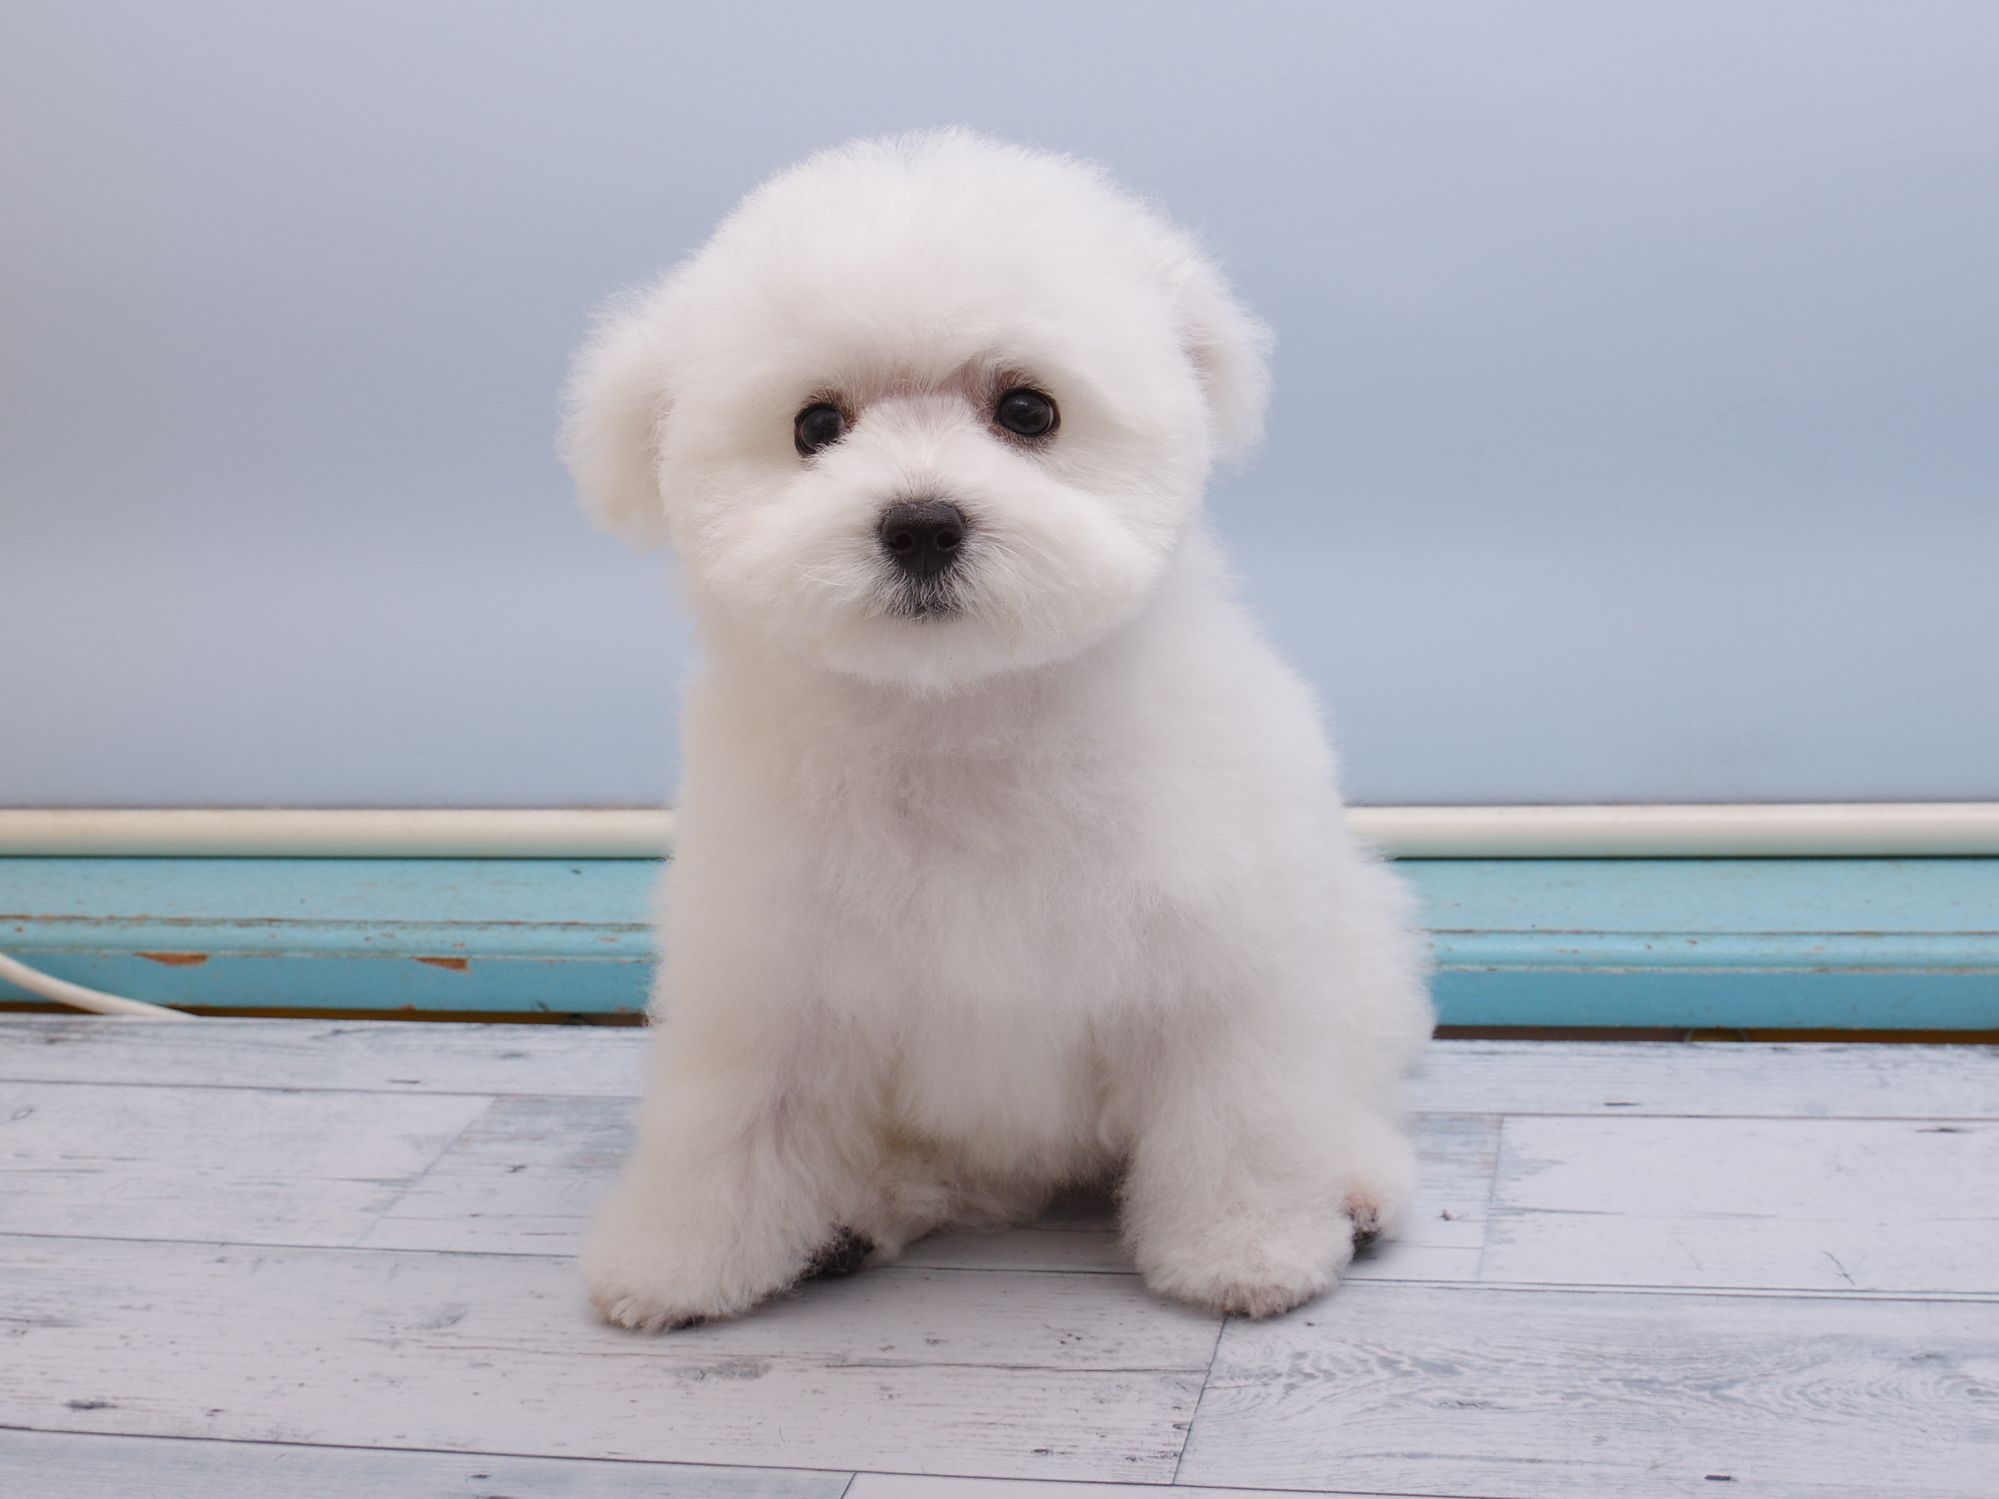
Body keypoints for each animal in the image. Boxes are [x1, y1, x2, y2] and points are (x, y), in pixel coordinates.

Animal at [562, 130, 1432, 1329]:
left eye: (1028, 411)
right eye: (815, 426)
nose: (922, 523)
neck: (961, 719)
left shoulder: (1217, 952)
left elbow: (1236, 1108)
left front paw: (1247, 1248)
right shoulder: (769, 968)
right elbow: (731, 1117)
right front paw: (675, 1255)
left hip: (1358, 951)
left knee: (1342, 1085)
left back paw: (1352, 1183)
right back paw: (853, 1213)